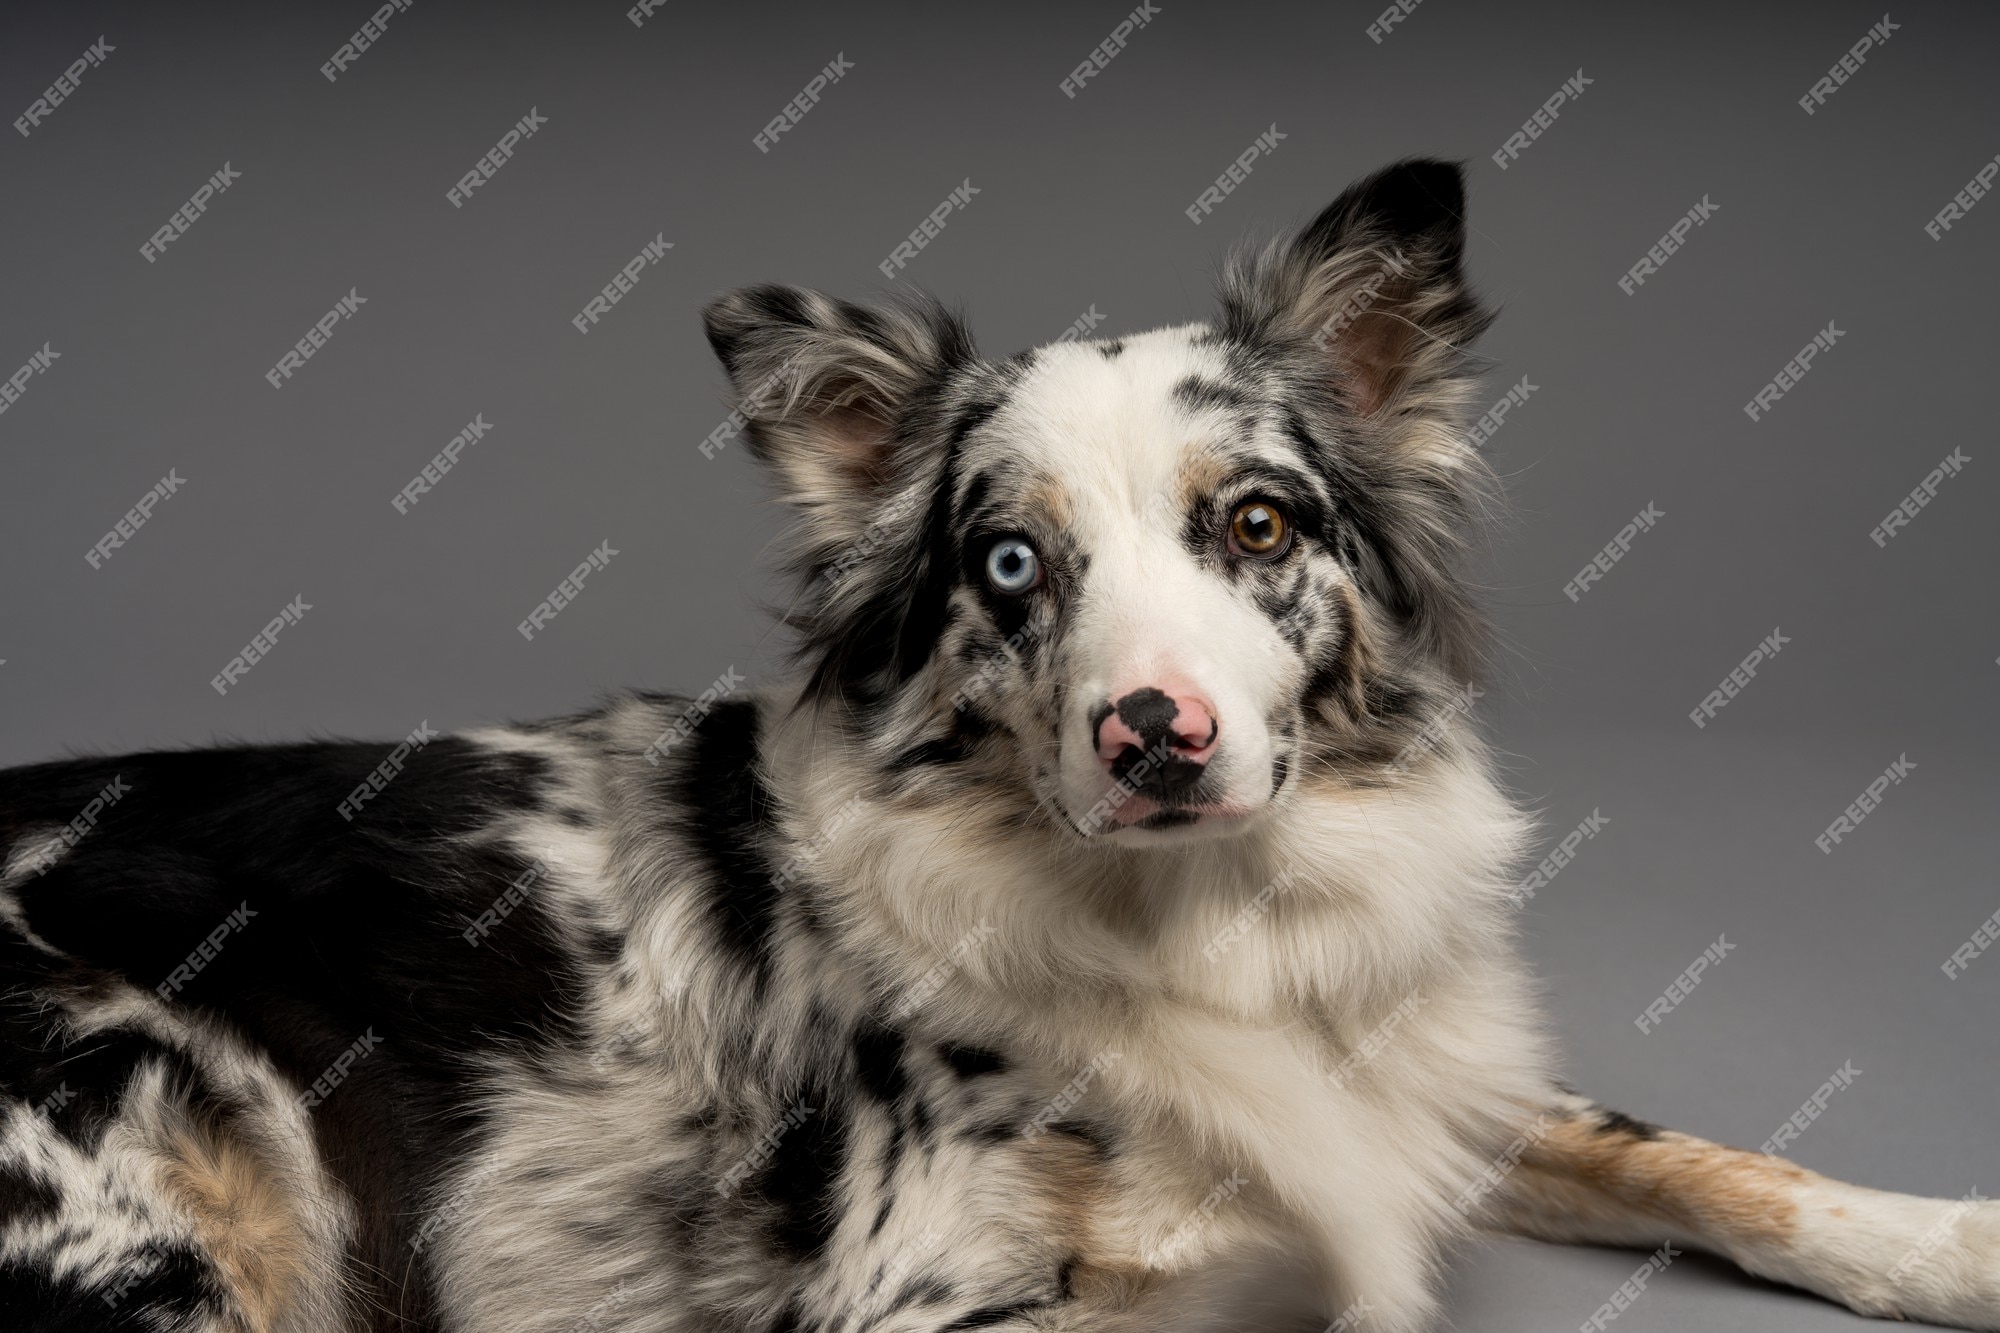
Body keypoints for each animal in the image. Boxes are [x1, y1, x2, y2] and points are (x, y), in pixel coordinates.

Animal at [3, 158, 2000, 1328]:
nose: (1152, 735)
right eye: (1013, 561)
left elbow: (1695, 1149)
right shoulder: (922, 1287)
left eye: (1257, 524)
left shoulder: (1410, 1080)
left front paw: (1951, 1242)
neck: (1210, 920)